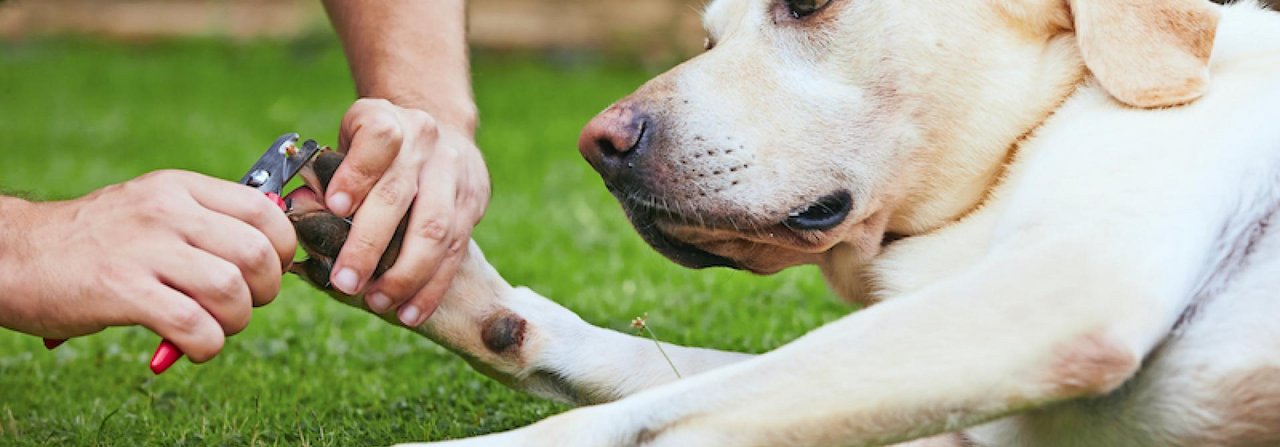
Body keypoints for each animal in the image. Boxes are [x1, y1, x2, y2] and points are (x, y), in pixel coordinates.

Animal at [285, 0, 1280, 443]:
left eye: (804, 3)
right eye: (707, 37)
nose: (598, 144)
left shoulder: (1065, 286)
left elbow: (637, 417)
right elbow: (643, 368)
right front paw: (443, 272)